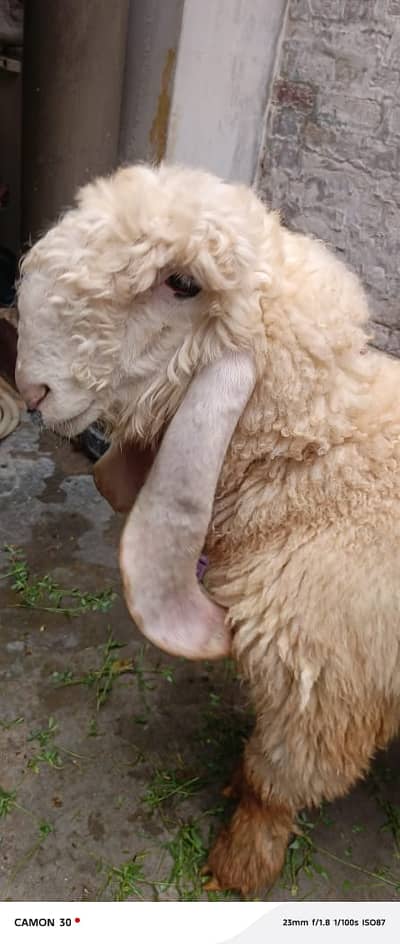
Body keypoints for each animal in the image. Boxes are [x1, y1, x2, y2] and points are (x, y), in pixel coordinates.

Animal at [15, 162, 400, 896]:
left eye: (182, 284)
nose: (31, 389)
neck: (320, 463)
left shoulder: (325, 693)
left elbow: (274, 784)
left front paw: (238, 864)